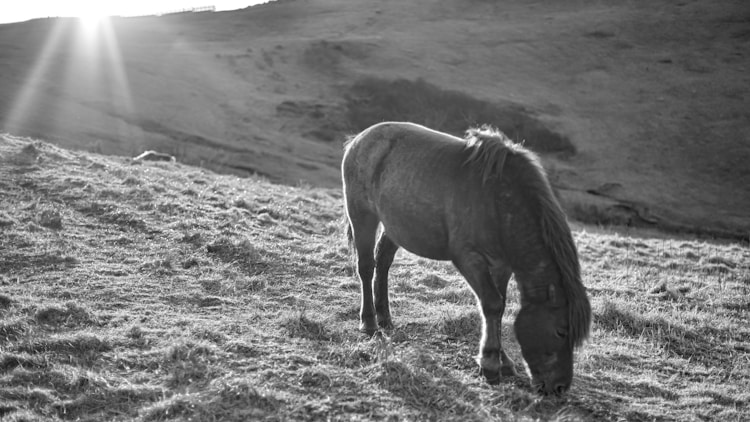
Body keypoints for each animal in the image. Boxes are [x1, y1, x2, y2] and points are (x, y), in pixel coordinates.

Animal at [342, 121, 592, 396]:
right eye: (561, 331)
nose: (559, 387)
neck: (499, 201)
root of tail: (360, 138)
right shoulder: (469, 258)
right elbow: (492, 304)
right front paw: (490, 364)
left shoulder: (501, 265)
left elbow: (500, 305)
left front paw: (503, 361)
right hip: (362, 215)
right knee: (366, 267)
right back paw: (369, 323)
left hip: (395, 226)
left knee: (383, 261)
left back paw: (385, 318)